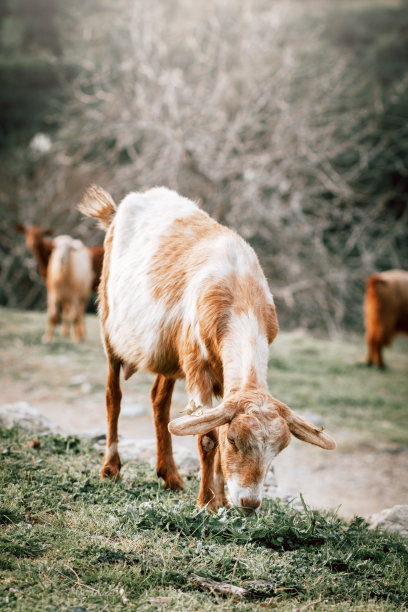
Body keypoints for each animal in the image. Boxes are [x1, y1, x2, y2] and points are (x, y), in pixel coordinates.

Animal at [79, 185, 334, 512]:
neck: (240, 295)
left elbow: (213, 424)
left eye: (278, 449)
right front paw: (207, 503)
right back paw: (111, 468)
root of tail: (117, 210)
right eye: (235, 441)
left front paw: (222, 500)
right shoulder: (196, 363)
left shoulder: (222, 373)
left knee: (159, 400)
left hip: (170, 354)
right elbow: (207, 436)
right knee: (114, 395)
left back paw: (171, 476)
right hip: (110, 327)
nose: (249, 502)